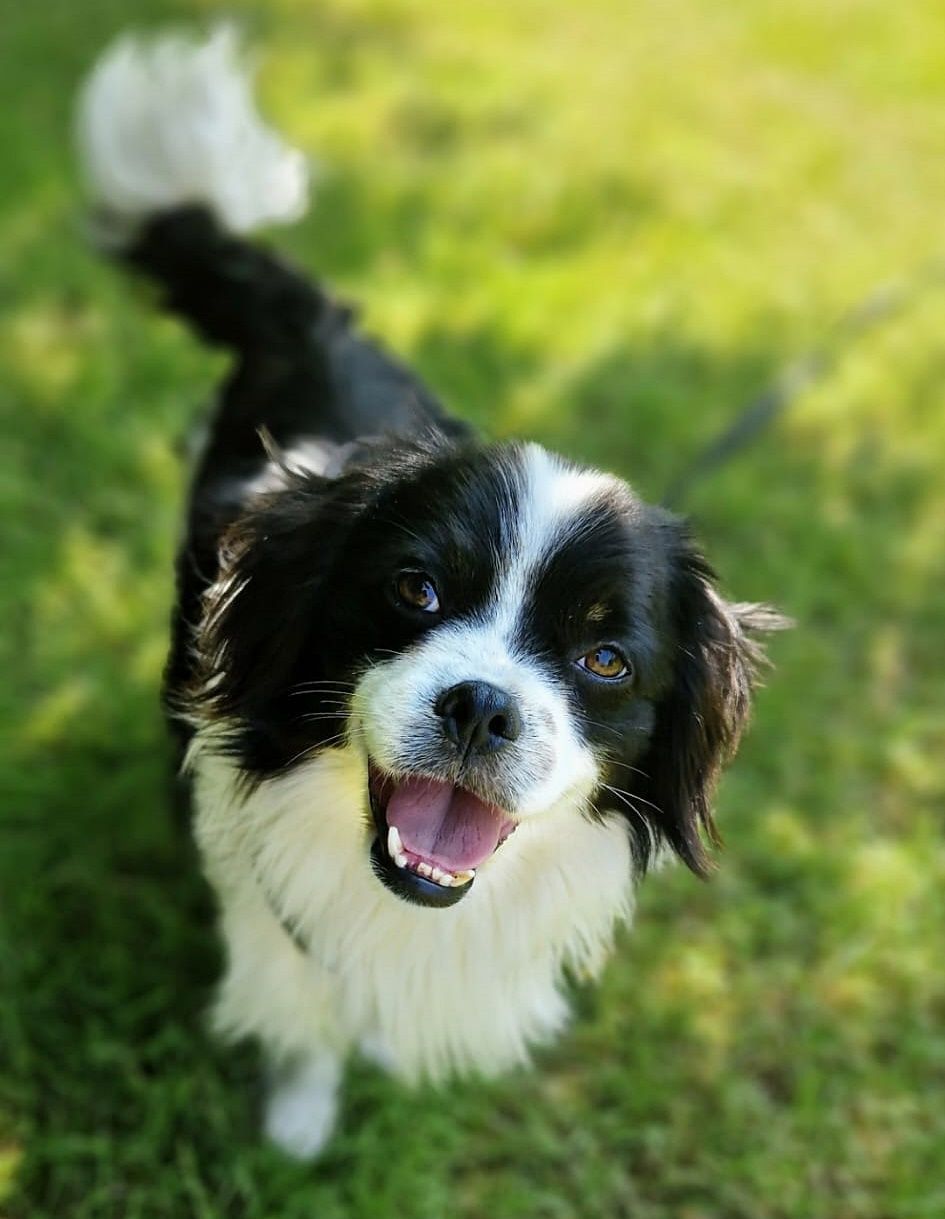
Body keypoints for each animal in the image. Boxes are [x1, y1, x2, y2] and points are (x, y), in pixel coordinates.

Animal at [77, 28, 782, 1159]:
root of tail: (320, 327)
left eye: (605, 659)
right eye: (415, 589)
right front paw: (300, 1122)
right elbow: (301, 990)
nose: (484, 705)